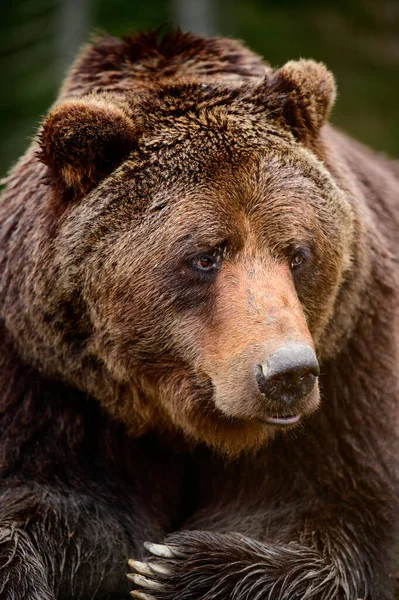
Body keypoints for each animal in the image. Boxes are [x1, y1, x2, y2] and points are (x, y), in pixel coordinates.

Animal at [0, 27, 399, 600]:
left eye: (297, 252)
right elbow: (55, 506)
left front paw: (175, 568)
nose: (287, 374)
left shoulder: (354, 366)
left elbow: (345, 525)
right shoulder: (48, 381)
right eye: (204, 256)